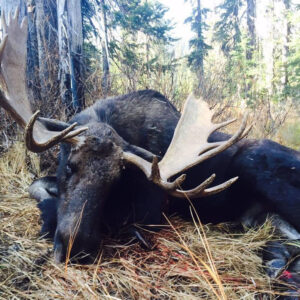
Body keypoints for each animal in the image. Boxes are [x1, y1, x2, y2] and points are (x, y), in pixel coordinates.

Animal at [0, 8, 298, 296]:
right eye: (70, 166)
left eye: (115, 181)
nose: (76, 248)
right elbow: (35, 185)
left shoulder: (151, 212)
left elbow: (127, 223)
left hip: (258, 167)